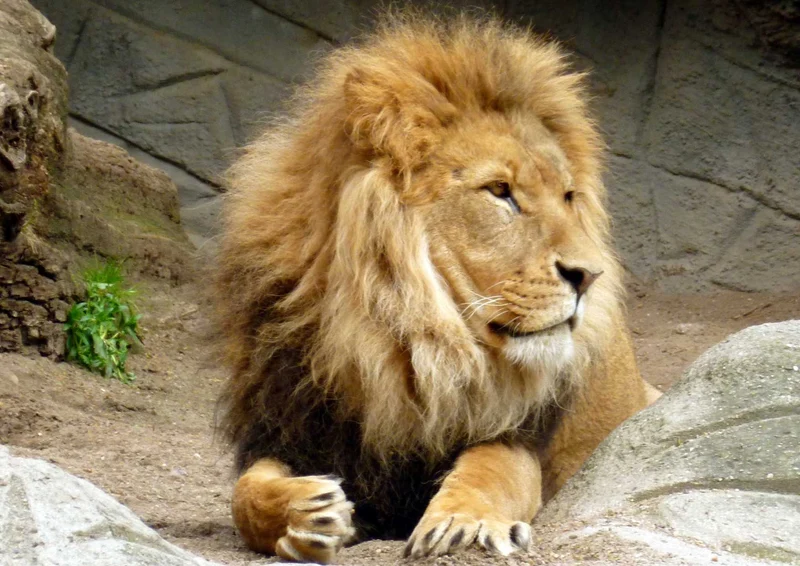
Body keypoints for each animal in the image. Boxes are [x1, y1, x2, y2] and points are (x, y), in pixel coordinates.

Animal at [213, 12, 660, 564]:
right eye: (500, 191)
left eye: (568, 196)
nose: (589, 276)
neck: (401, 345)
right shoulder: (289, 424)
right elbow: (244, 493)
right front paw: (305, 514)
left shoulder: (518, 437)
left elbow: (493, 471)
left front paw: (465, 525)